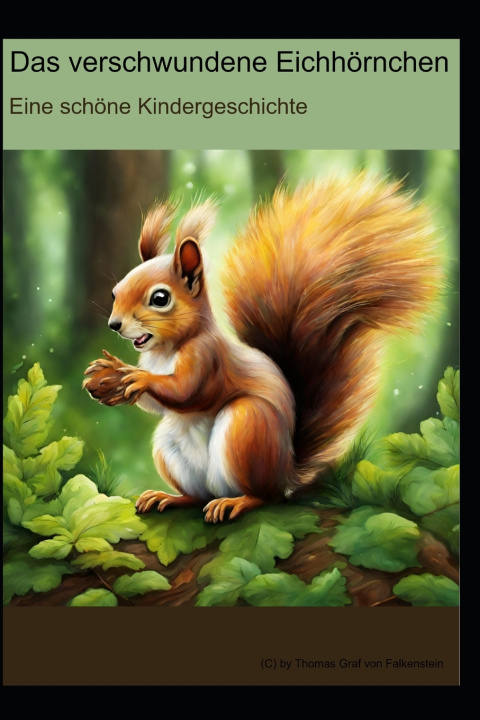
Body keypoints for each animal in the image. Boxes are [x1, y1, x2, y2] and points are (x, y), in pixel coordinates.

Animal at [83, 171, 444, 523]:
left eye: (160, 298)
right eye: (116, 292)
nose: (114, 324)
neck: (165, 351)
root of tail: (285, 474)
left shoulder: (209, 358)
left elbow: (187, 391)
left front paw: (134, 377)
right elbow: (155, 407)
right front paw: (107, 376)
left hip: (247, 427)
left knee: (263, 497)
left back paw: (237, 502)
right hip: (171, 448)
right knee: (197, 495)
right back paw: (170, 497)